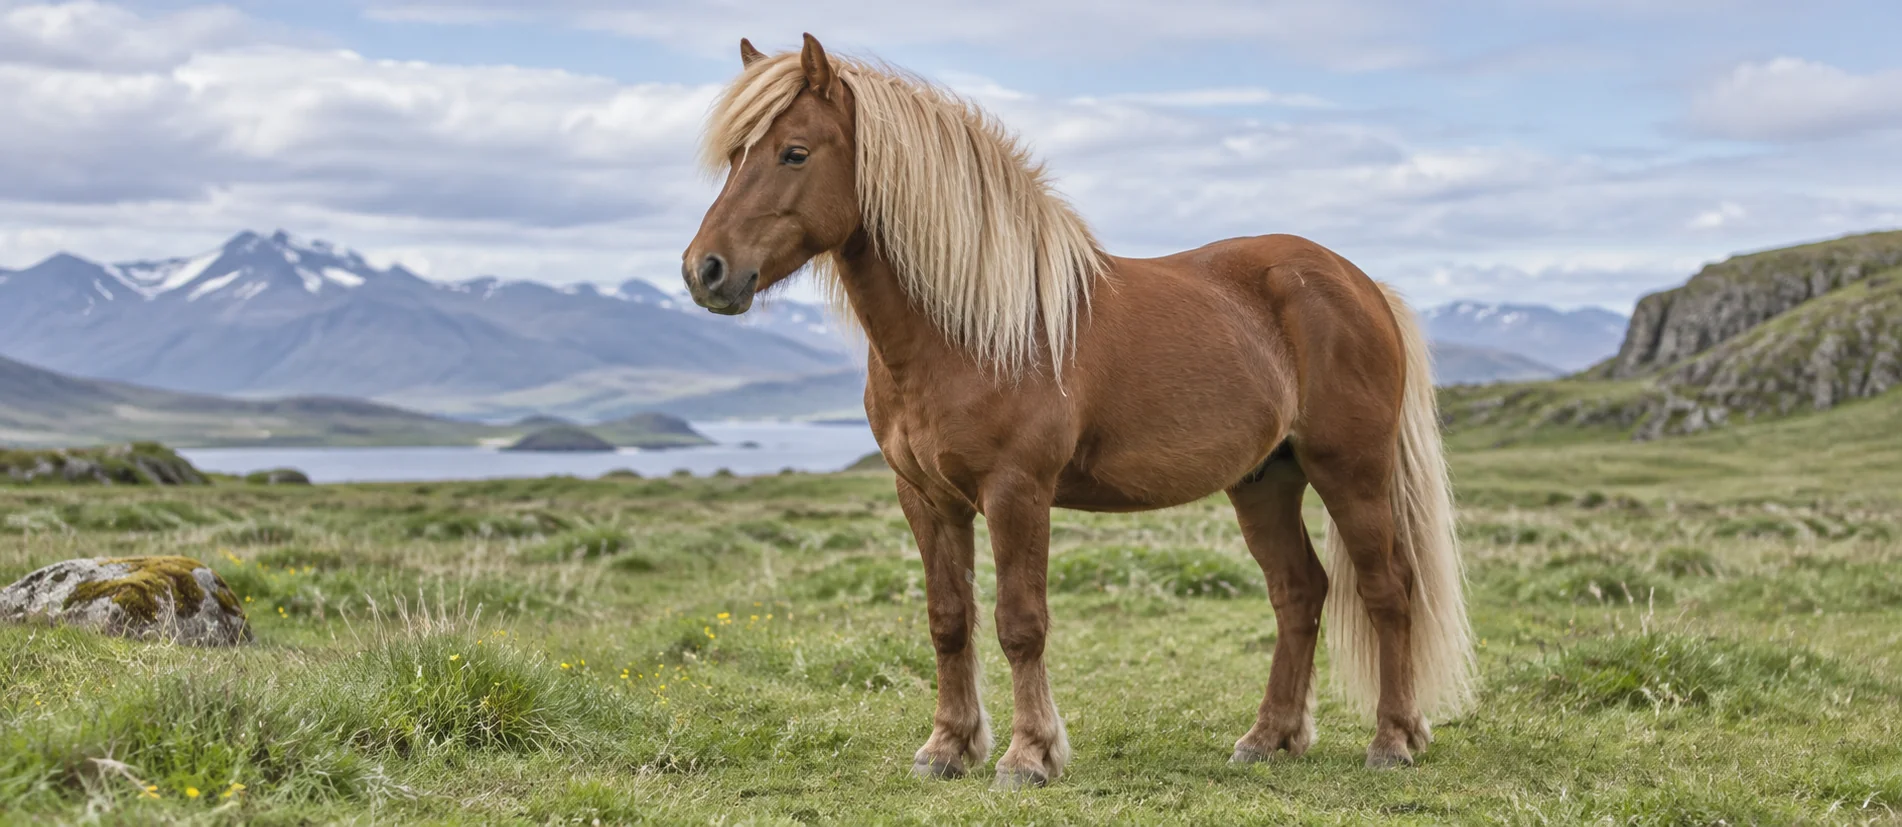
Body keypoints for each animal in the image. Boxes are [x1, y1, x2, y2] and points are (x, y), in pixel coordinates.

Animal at [683, 34, 1475, 789]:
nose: (705, 271)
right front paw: (948, 748)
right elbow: (949, 620)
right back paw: (1268, 738)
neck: (973, 330)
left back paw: (1393, 740)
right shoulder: (926, 497)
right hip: (1265, 480)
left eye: (793, 152)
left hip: (1351, 472)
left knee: (1387, 588)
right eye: (735, 154)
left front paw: (1028, 756)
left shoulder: (1017, 492)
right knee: (1299, 592)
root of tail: (1360, 283)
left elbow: (1020, 623)